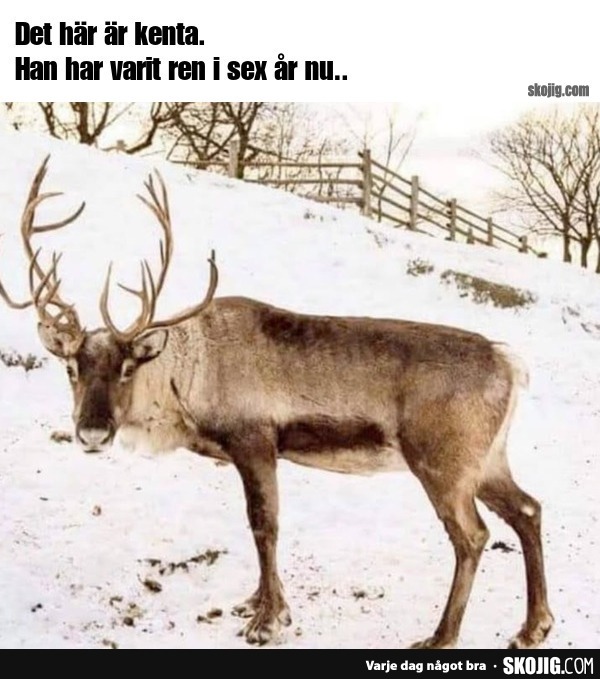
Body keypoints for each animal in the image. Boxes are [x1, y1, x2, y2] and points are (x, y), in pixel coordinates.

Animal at [0, 156, 554, 649]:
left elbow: (264, 525)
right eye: (70, 368)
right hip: (487, 461)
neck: (191, 377)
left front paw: (267, 622)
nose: (92, 432)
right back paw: (533, 628)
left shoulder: (255, 441)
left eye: (126, 368)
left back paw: (442, 636)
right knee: (528, 508)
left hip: (443, 462)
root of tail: (510, 363)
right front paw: (262, 604)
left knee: (472, 535)